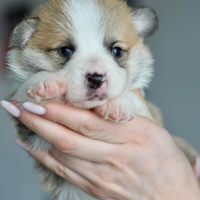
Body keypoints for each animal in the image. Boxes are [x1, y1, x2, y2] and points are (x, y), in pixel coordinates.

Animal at [7, 0, 159, 199]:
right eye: (65, 50)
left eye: (116, 51)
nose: (96, 78)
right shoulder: (31, 132)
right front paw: (44, 82)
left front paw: (118, 103)